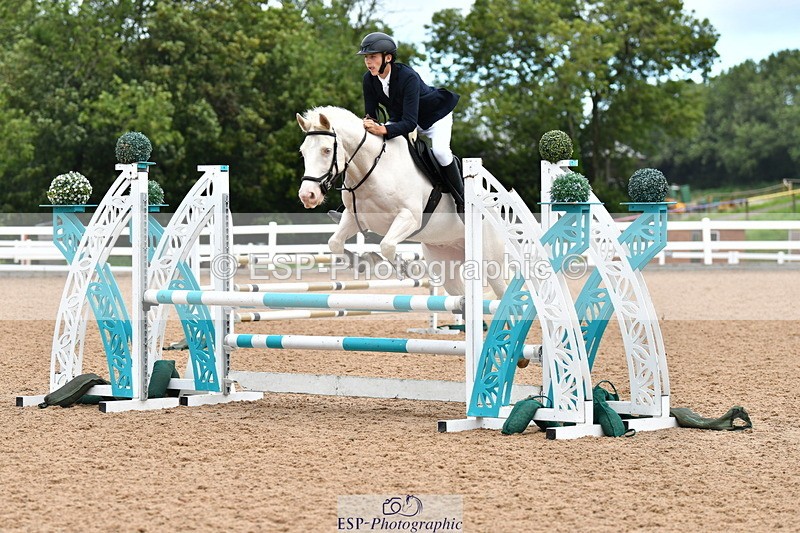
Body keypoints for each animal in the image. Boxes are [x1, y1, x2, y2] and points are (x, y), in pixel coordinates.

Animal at [296, 105, 508, 298]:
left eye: (326, 150)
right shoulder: (355, 217)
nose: (308, 195)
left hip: (489, 262)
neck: (374, 168)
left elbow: (387, 245)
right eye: (303, 152)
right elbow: (335, 243)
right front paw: (363, 263)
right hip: (446, 262)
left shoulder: (409, 218)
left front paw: (407, 268)